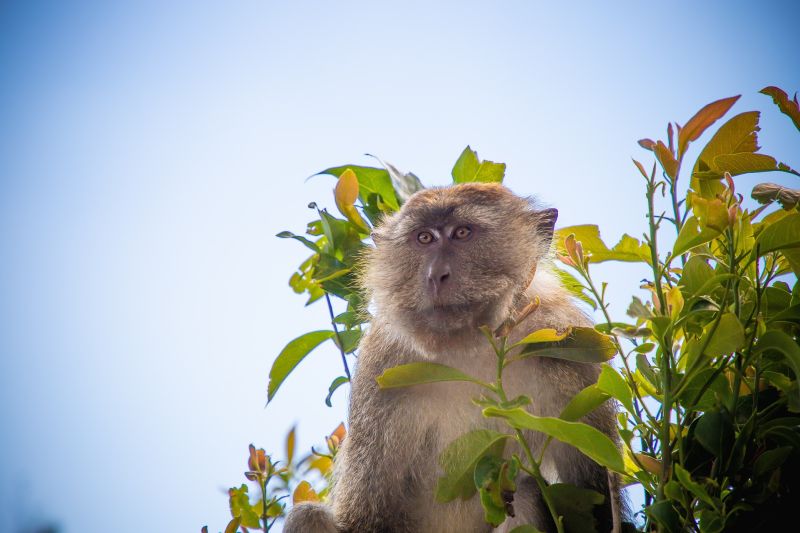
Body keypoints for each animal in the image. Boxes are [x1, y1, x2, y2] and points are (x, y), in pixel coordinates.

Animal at [285, 182, 621, 533]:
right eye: (424, 238)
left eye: (462, 233)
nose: (436, 275)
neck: (470, 349)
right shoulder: (380, 367)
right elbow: (365, 518)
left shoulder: (571, 347)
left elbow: (595, 504)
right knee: (307, 516)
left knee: (525, 491)